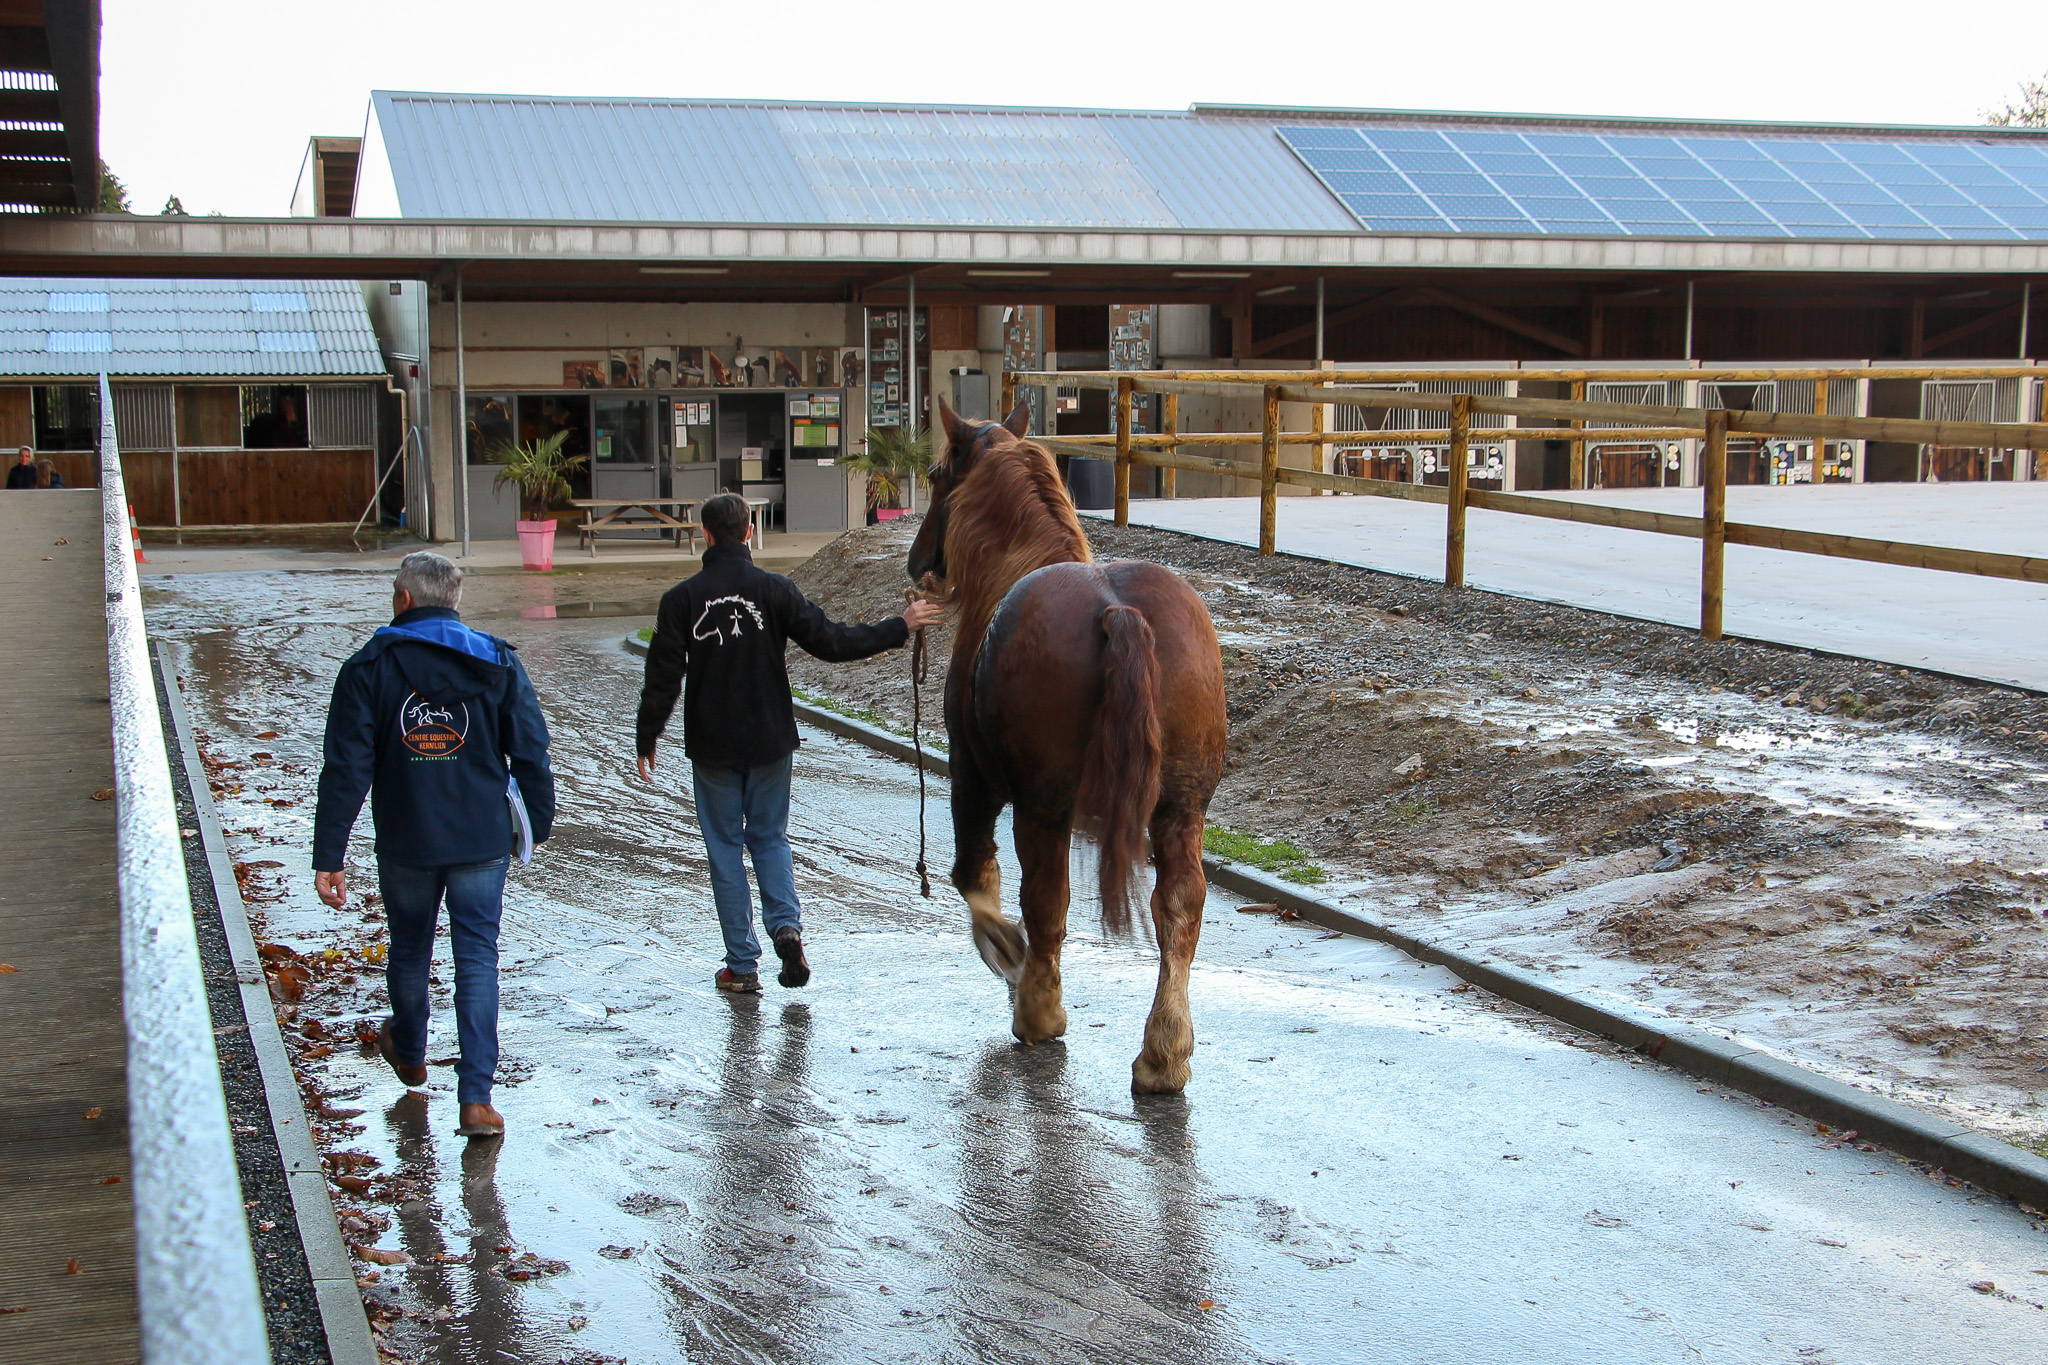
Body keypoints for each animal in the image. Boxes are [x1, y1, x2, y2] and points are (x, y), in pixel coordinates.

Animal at [909, 401, 1220, 1096]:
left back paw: (1040, 1013)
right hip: (1181, 809)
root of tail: (1119, 613)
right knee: (1179, 908)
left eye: (939, 476)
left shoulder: (972, 777)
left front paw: (1007, 953)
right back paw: (1164, 1054)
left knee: (1046, 899)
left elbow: (975, 877)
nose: (917, 562)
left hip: (1042, 808)